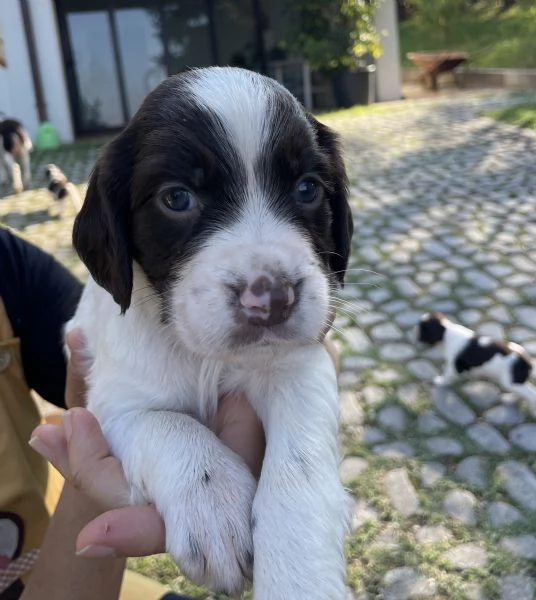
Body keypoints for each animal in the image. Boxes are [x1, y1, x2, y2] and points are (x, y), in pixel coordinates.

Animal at [65, 67, 354, 600]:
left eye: (308, 188)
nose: (272, 299)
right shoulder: (113, 403)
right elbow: (169, 425)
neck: (203, 357)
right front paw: (214, 506)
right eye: (177, 198)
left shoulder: (299, 363)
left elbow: (299, 463)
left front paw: (299, 574)